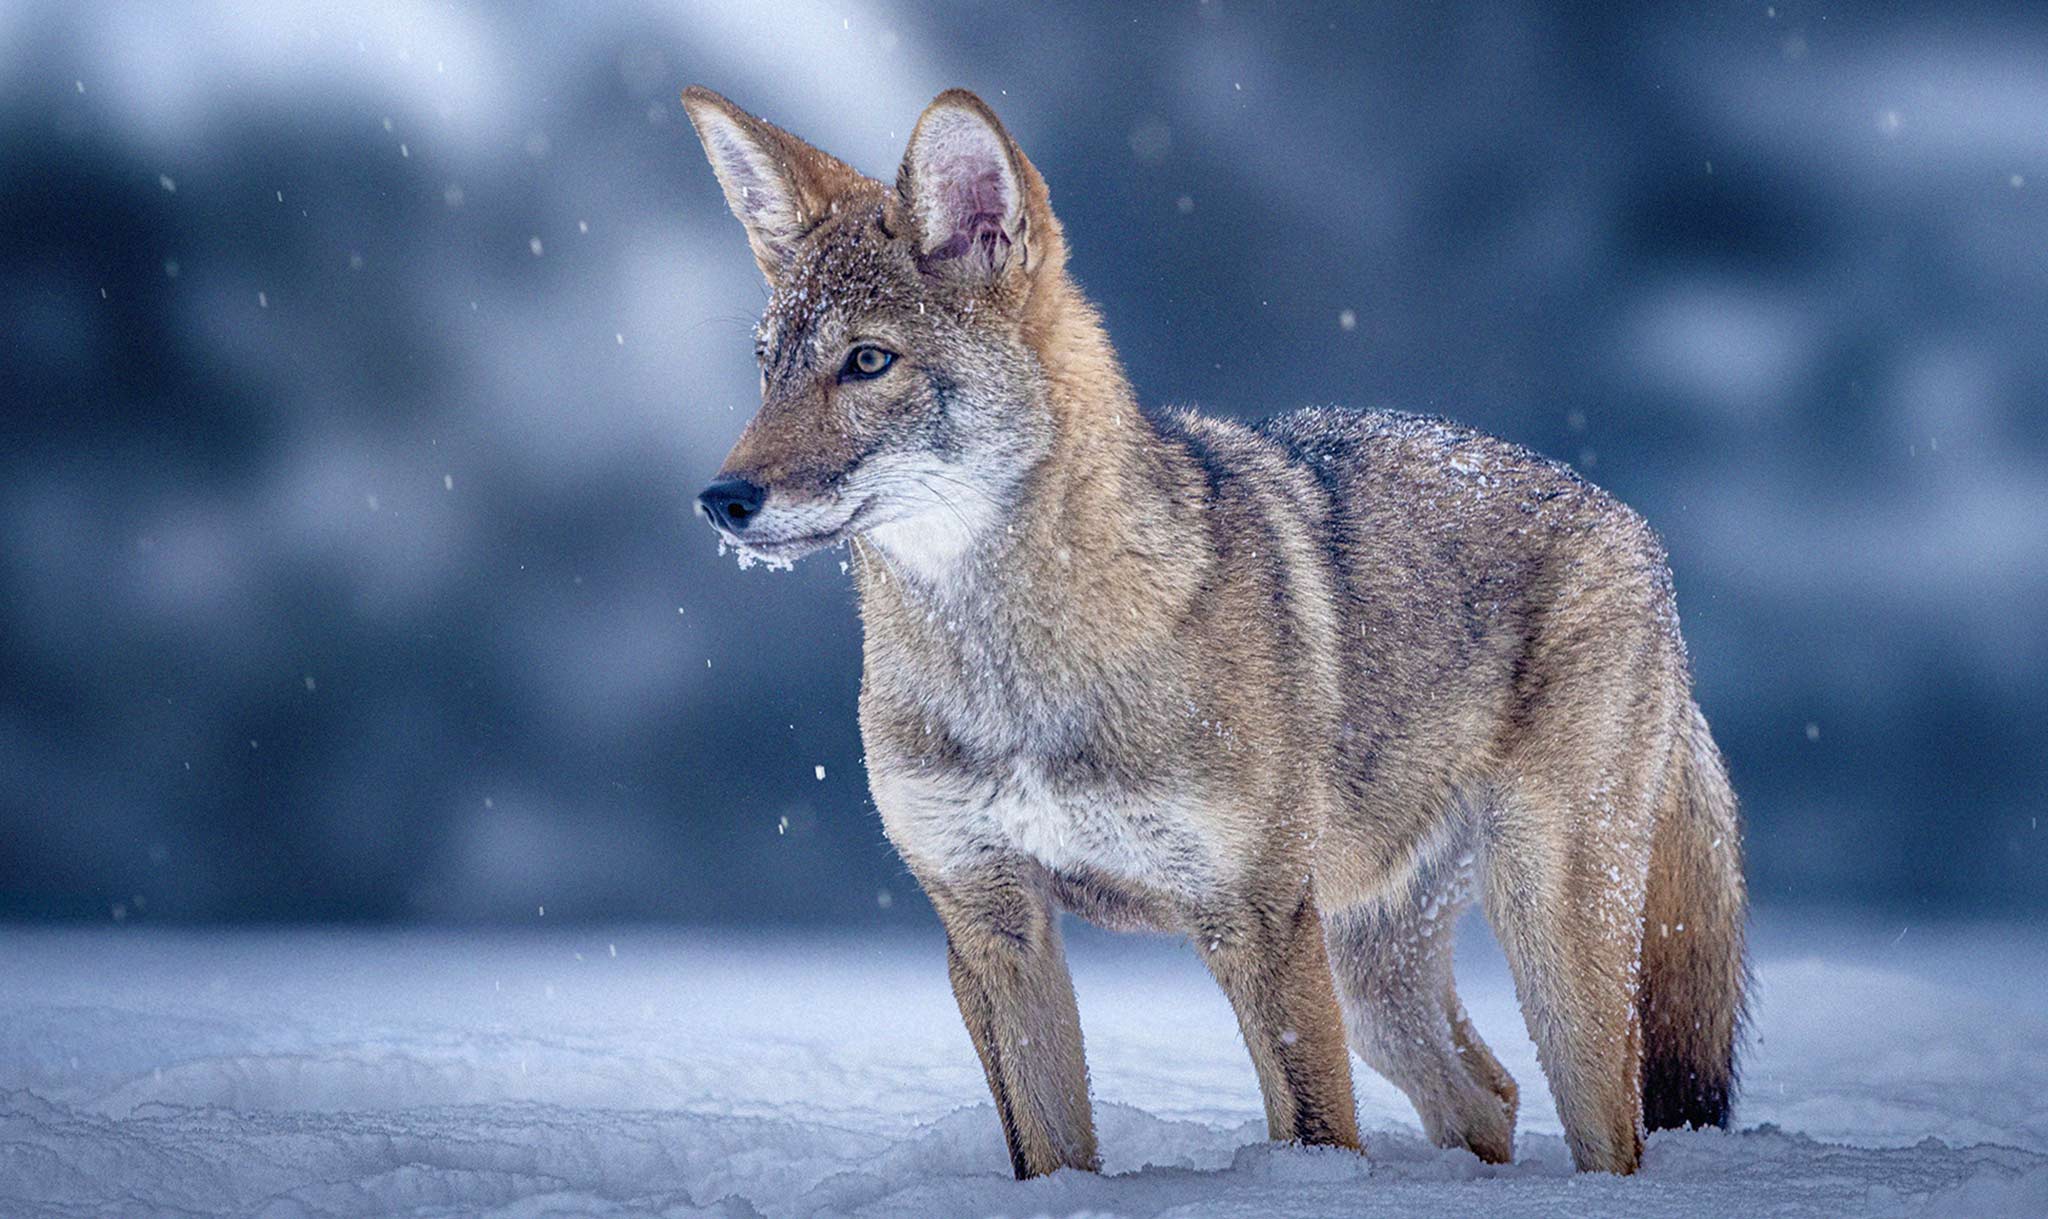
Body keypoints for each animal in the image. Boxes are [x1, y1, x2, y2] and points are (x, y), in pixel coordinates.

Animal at [679, 84, 1747, 1178]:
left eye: (866, 362)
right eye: (765, 370)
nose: (721, 499)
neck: (1016, 673)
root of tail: (1632, 525)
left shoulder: (1258, 924)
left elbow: (1316, 1134)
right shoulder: (990, 922)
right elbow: (1049, 1149)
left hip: (1546, 945)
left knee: (1605, 1128)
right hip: (1376, 973)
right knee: (1486, 1093)